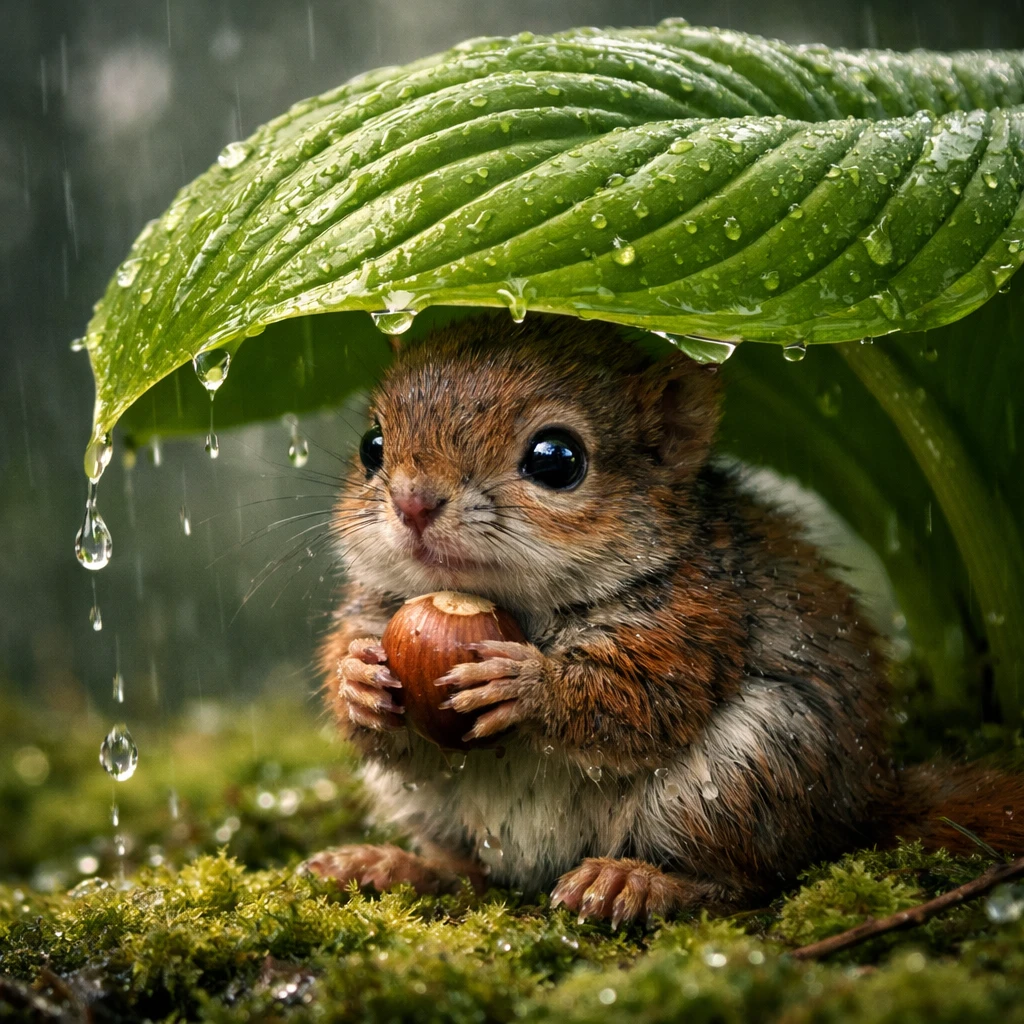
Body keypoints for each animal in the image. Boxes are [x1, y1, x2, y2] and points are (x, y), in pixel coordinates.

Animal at [306, 313, 1024, 926]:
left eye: (556, 459)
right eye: (372, 445)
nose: (413, 503)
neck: (517, 607)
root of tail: (868, 798)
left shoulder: (698, 615)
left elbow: (644, 699)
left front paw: (528, 686)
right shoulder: (373, 606)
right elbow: (368, 706)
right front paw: (357, 679)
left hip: (744, 773)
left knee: (746, 880)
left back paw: (640, 881)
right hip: (426, 802)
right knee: (470, 871)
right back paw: (397, 866)